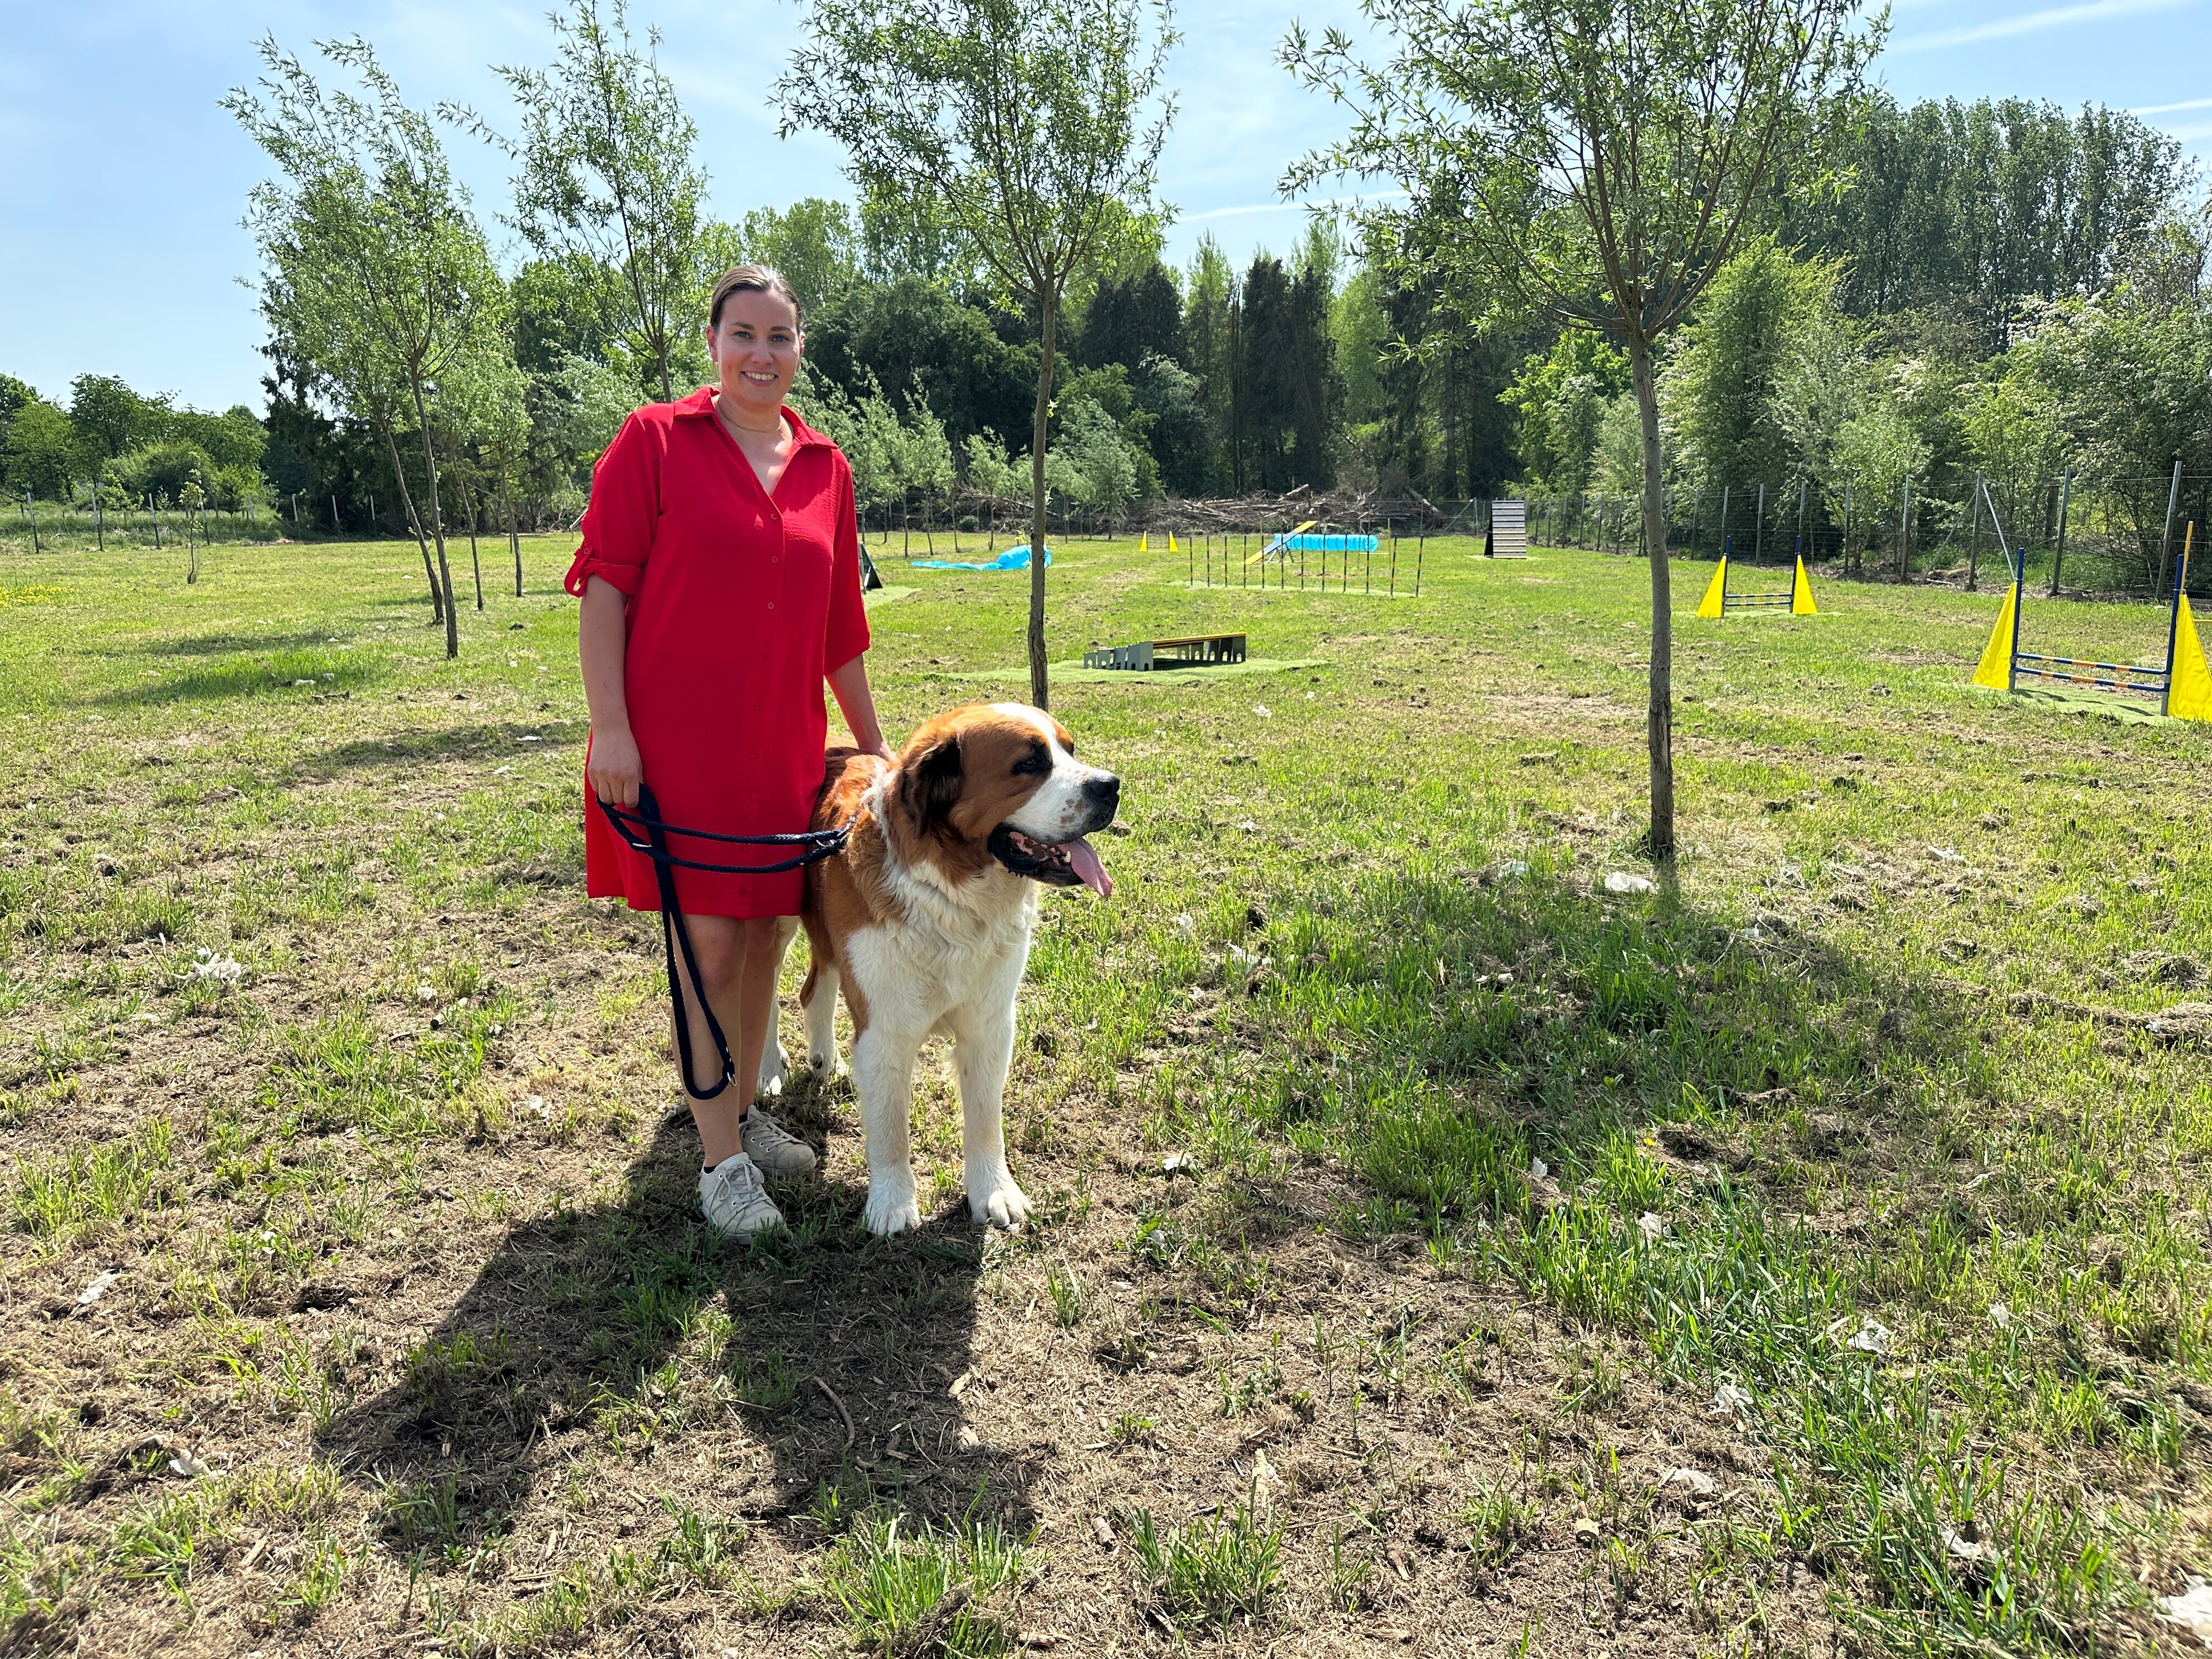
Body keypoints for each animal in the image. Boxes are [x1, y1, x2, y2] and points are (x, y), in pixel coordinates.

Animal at [763, 702, 1119, 1235]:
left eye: (1069, 751)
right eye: (1030, 764)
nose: (1111, 786)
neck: (952, 895)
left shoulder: (990, 1025)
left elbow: (985, 1118)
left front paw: (994, 1191)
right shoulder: (885, 1031)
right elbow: (890, 1127)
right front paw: (891, 1203)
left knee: (815, 991)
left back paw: (826, 1061)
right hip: (775, 921)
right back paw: (768, 1069)